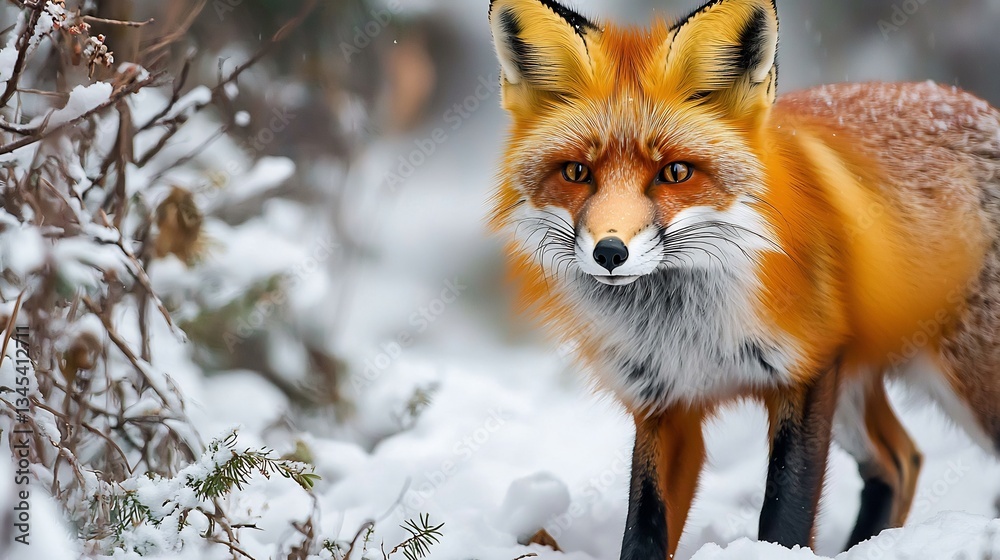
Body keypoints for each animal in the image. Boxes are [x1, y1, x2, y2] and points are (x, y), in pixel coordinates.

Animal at [487, 0, 1000, 558]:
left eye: (676, 173)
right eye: (577, 172)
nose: (609, 253)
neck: (684, 327)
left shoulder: (806, 370)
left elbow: (785, 511)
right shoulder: (664, 403)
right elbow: (644, 526)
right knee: (900, 460)